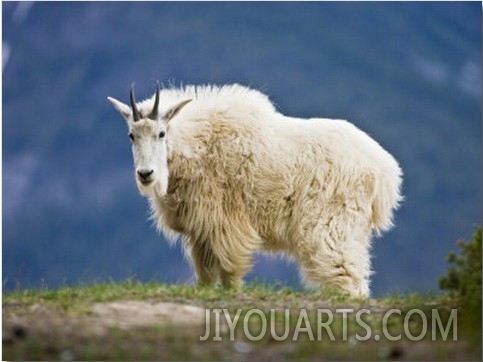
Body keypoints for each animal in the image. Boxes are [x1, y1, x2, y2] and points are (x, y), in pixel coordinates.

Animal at [108, 82, 402, 296]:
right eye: (131, 135)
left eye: (161, 133)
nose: (146, 174)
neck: (196, 147)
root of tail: (382, 170)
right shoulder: (201, 230)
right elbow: (205, 275)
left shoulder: (225, 224)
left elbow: (229, 270)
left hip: (332, 225)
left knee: (349, 279)